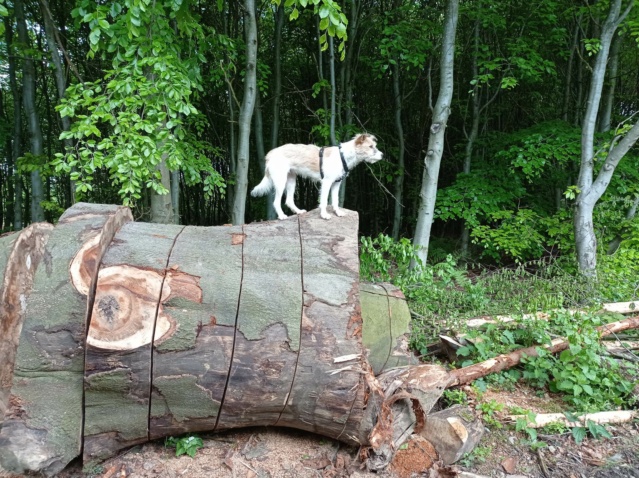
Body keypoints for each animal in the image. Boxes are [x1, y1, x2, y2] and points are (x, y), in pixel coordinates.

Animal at [251, 134, 382, 220]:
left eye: (374, 145)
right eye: (370, 146)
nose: (382, 155)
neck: (343, 156)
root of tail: (270, 154)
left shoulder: (336, 184)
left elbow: (335, 200)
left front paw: (338, 212)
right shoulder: (326, 182)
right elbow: (324, 201)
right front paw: (324, 215)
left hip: (291, 180)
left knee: (289, 200)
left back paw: (298, 211)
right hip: (280, 181)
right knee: (276, 202)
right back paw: (282, 216)